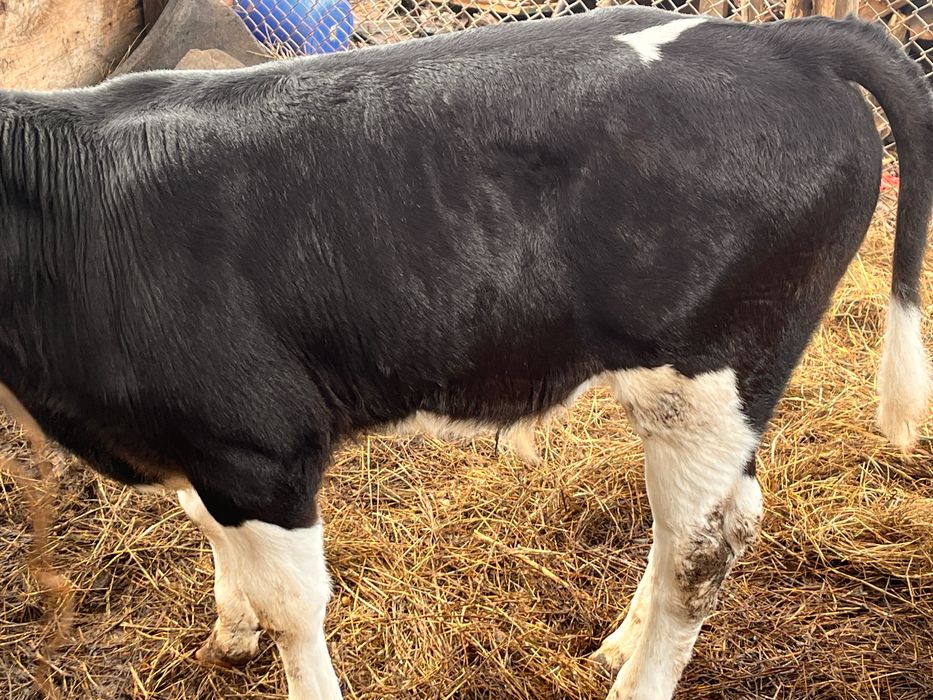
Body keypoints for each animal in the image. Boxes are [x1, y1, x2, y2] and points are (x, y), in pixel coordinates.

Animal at [1, 6, 931, 700]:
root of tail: (780, 40)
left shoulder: (258, 446)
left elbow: (295, 607)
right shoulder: (194, 445)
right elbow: (206, 526)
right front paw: (229, 634)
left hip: (711, 368)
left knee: (704, 550)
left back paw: (636, 678)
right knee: (700, 524)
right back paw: (617, 645)